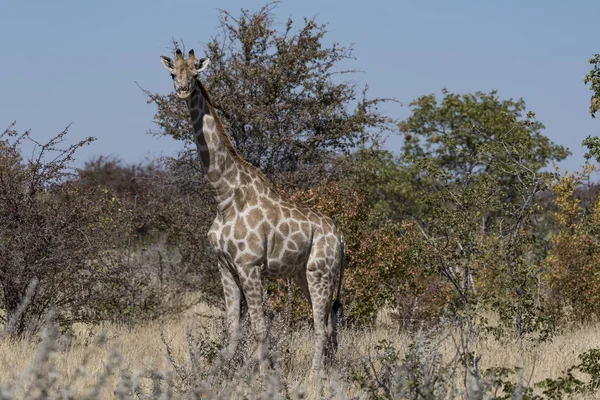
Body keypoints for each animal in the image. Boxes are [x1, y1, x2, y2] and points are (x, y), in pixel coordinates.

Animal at [161, 49, 346, 376]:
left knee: (320, 326)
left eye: (195, 73)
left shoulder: (250, 266)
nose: (182, 90)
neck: (223, 197)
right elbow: (233, 328)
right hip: (303, 274)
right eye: (173, 73)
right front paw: (215, 374)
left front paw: (263, 376)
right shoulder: (224, 266)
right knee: (327, 324)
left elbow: (260, 328)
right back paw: (328, 371)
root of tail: (340, 237)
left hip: (320, 272)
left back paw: (314, 376)